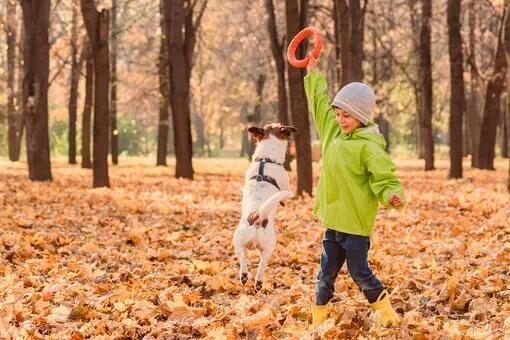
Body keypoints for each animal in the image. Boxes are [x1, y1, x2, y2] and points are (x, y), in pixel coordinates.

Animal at [233, 122, 296, 290]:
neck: (265, 160)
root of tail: (256, 217)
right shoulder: (285, 183)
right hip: (268, 245)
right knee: (262, 264)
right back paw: (257, 280)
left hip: (240, 242)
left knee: (244, 258)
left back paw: (246, 276)